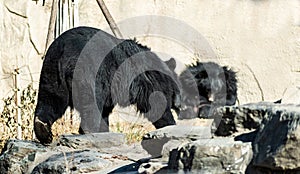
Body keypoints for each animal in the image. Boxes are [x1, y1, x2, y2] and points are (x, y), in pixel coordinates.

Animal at [35, 26, 180, 144]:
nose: (179, 105)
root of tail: (66, 52)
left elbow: (105, 110)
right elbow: (155, 102)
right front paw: (170, 125)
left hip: (51, 71)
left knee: (50, 100)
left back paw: (42, 129)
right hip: (90, 72)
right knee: (91, 103)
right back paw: (89, 131)